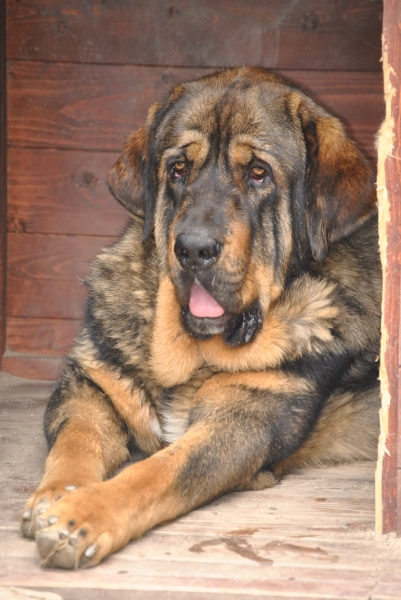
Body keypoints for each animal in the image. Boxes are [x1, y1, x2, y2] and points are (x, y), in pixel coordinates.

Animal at [20, 65, 380, 568]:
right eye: (178, 169)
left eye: (258, 173)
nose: (192, 248)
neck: (190, 354)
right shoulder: (91, 387)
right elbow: (76, 443)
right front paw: (56, 496)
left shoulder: (243, 421)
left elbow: (159, 472)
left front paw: (82, 517)